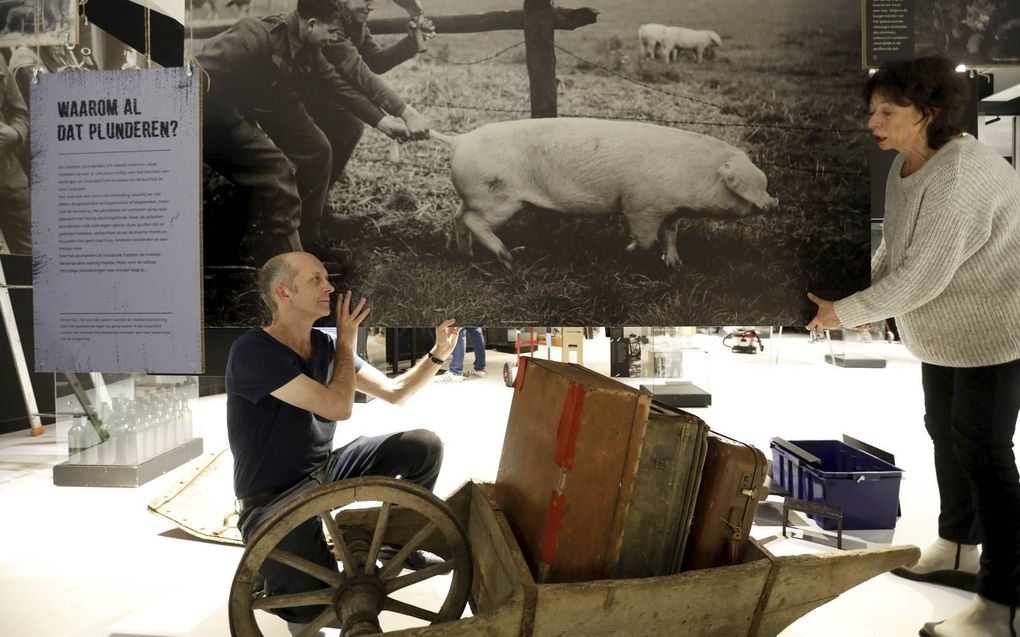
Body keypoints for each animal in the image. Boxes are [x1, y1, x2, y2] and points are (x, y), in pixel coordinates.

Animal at [426, 117, 775, 269]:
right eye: (759, 185)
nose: (774, 202)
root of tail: (459, 140)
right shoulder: (640, 205)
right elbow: (646, 237)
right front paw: (626, 252)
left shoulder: (668, 210)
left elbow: (670, 235)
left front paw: (675, 266)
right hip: (499, 200)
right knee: (474, 221)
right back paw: (509, 259)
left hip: (477, 196)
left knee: (459, 216)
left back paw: (466, 255)